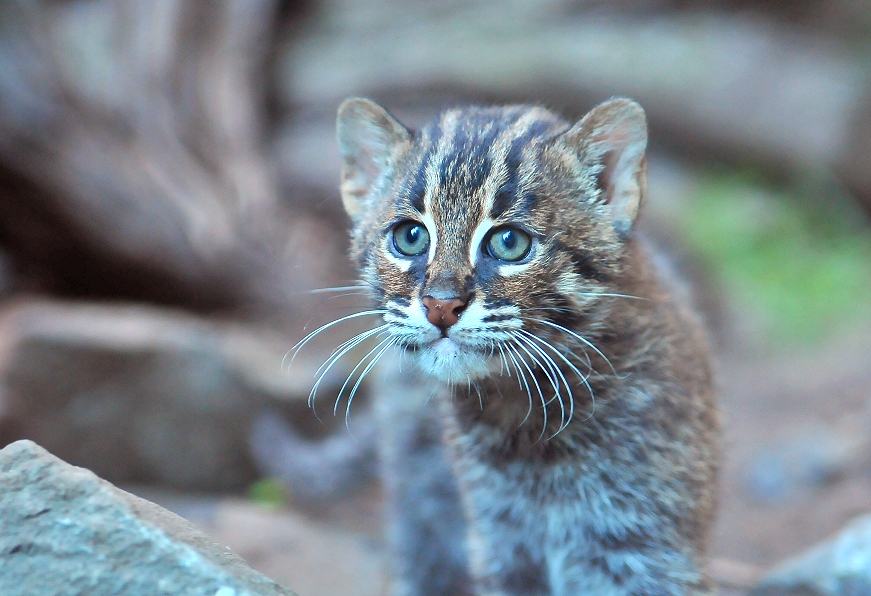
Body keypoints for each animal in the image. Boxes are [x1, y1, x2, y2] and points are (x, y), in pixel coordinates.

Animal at [296, 98, 720, 596]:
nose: (441, 306)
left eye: (510, 242)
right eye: (410, 237)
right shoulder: (501, 541)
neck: (529, 417)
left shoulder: (643, 549)